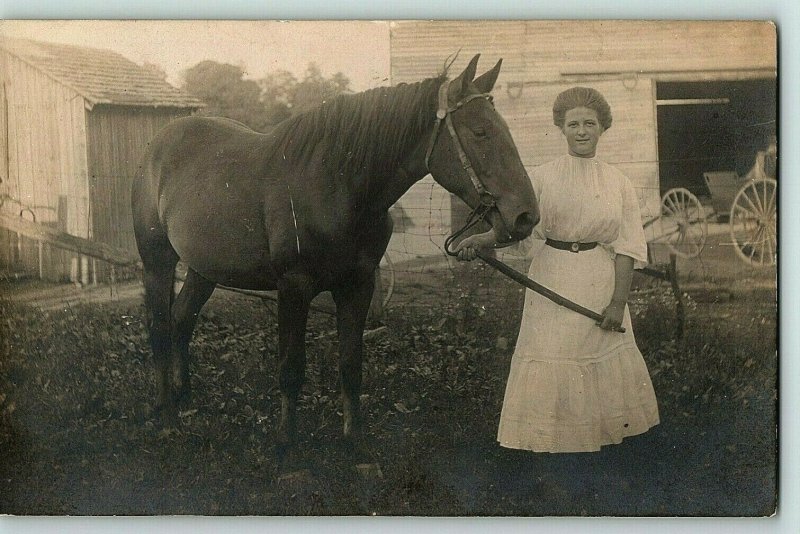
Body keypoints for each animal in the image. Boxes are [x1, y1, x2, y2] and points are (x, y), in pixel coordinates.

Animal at [134, 53, 540, 456]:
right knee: (159, 327)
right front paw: (286, 445)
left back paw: (183, 397)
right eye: (480, 132)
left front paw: (354, 441)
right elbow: (291, 368)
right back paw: (168, 417)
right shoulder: (293, 288)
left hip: (203, 269)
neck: (336, 185)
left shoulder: (357, 286)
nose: (526, 216)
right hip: (158, 262)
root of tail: (157, 145)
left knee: (181, 319)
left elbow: (350, 364)